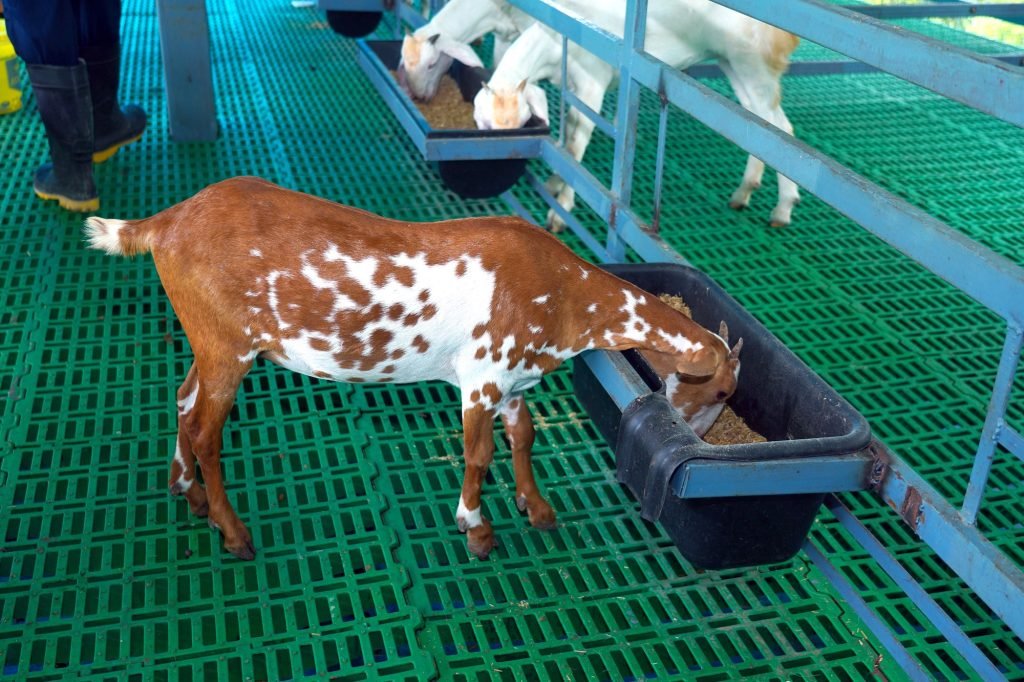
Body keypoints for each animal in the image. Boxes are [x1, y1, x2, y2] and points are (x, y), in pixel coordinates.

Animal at [84, 177, 735, 561]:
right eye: (724, 391)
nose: (699, 439)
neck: (567, 293)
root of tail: (164, 224)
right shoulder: (482, 379)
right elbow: (479, 454)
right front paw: (476, 527)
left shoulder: (516, 380)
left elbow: (524, 437)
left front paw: (538, 508)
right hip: (227, 346)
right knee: (206, 431)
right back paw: (233, 530)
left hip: (208, 343)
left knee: (183, 399)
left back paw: (187, 491)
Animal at [474, 2, 802, 230]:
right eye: (481, 123)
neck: (557, 35)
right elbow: (567, 136)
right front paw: (555, 183)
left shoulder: (593, 83)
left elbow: (576, 144)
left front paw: (561, 210)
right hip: (733, 63)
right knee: (759, 130)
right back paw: (745, 191)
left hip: (755, 63)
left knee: (781, 129)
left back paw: (783, 208)